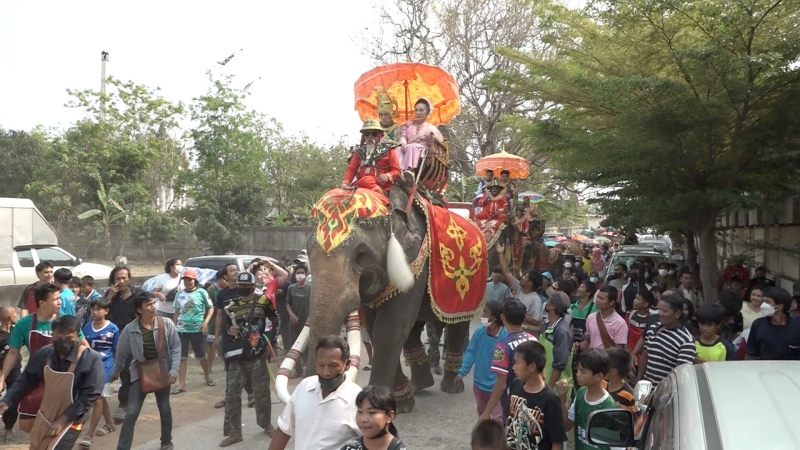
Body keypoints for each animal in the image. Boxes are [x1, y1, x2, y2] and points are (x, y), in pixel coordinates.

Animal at [276, 185, 485, 413]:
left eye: (361, 255)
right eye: (309, 253)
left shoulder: (414, 259)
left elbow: (389, 329)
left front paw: (382, 405)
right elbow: (376, 327)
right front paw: (401, 404)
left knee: (458, 325)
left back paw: (452, 387)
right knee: (413, 329)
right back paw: (421, 386)